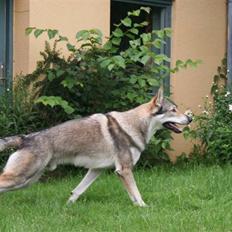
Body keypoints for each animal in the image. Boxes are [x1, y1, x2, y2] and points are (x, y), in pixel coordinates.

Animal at [0, 87, 191, 207]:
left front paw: (67, 207)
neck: (133, 125)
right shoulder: (124, 170)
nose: (190, 118)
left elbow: (77, 191)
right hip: (21, 179)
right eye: (173, 110)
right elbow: (137, 193)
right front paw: (145, 208)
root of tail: (25, 138)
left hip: (26, 182)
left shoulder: (97, 169)